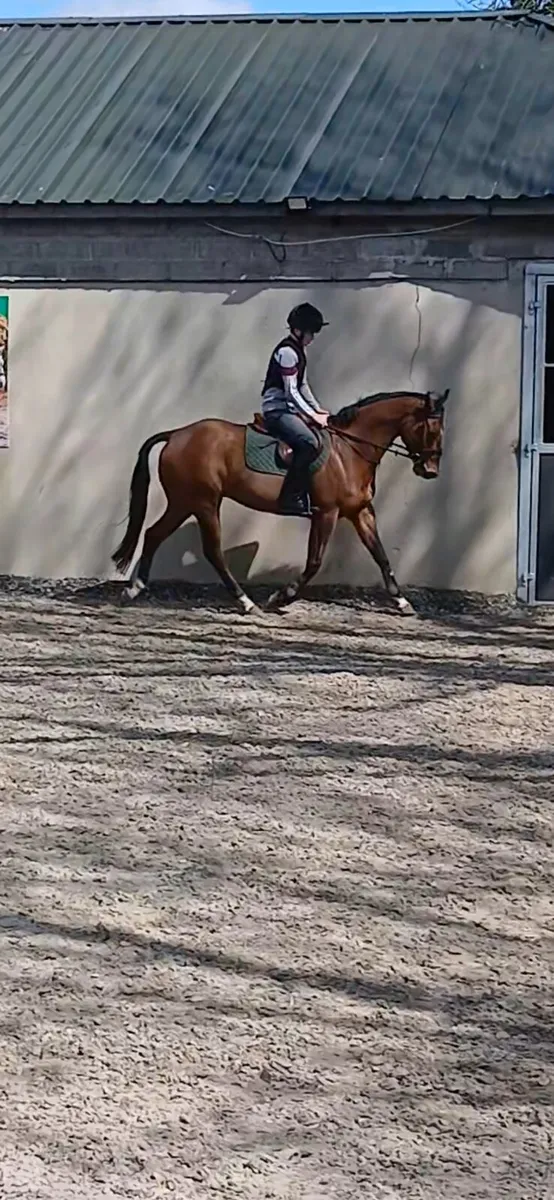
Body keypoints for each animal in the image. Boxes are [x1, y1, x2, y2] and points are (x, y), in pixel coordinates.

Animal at [112, 388, 449, 615]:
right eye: (431, 429)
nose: (430, 471)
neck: (349, 451)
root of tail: (176, 435)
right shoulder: (327, 513)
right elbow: (314, 562)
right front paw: (282, 596)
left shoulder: (360, 511)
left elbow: (380, 555)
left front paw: (402, 601)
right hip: (203, 503)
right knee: (212, 551)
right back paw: (247, 603)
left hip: (184, 502)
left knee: (153, 534)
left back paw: (134, 589)